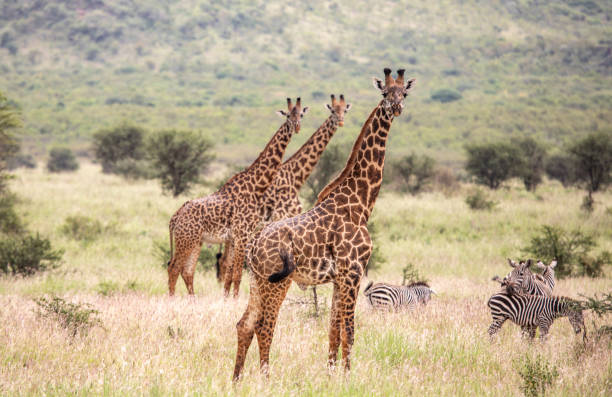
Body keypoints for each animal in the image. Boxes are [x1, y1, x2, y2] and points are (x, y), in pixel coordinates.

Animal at [166, 97, 308, 296]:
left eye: (301, 115)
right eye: (288, 115)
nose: (296, 127)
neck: (256, 186)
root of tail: (174, 218)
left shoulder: (235, 239)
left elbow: (230, 276)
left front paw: (227, 300)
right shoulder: (242, 235)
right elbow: (238, 275)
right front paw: (233, 300)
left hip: (195, 242)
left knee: (186, 271)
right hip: (186, 240)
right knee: (173, 268)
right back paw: (171, 299)